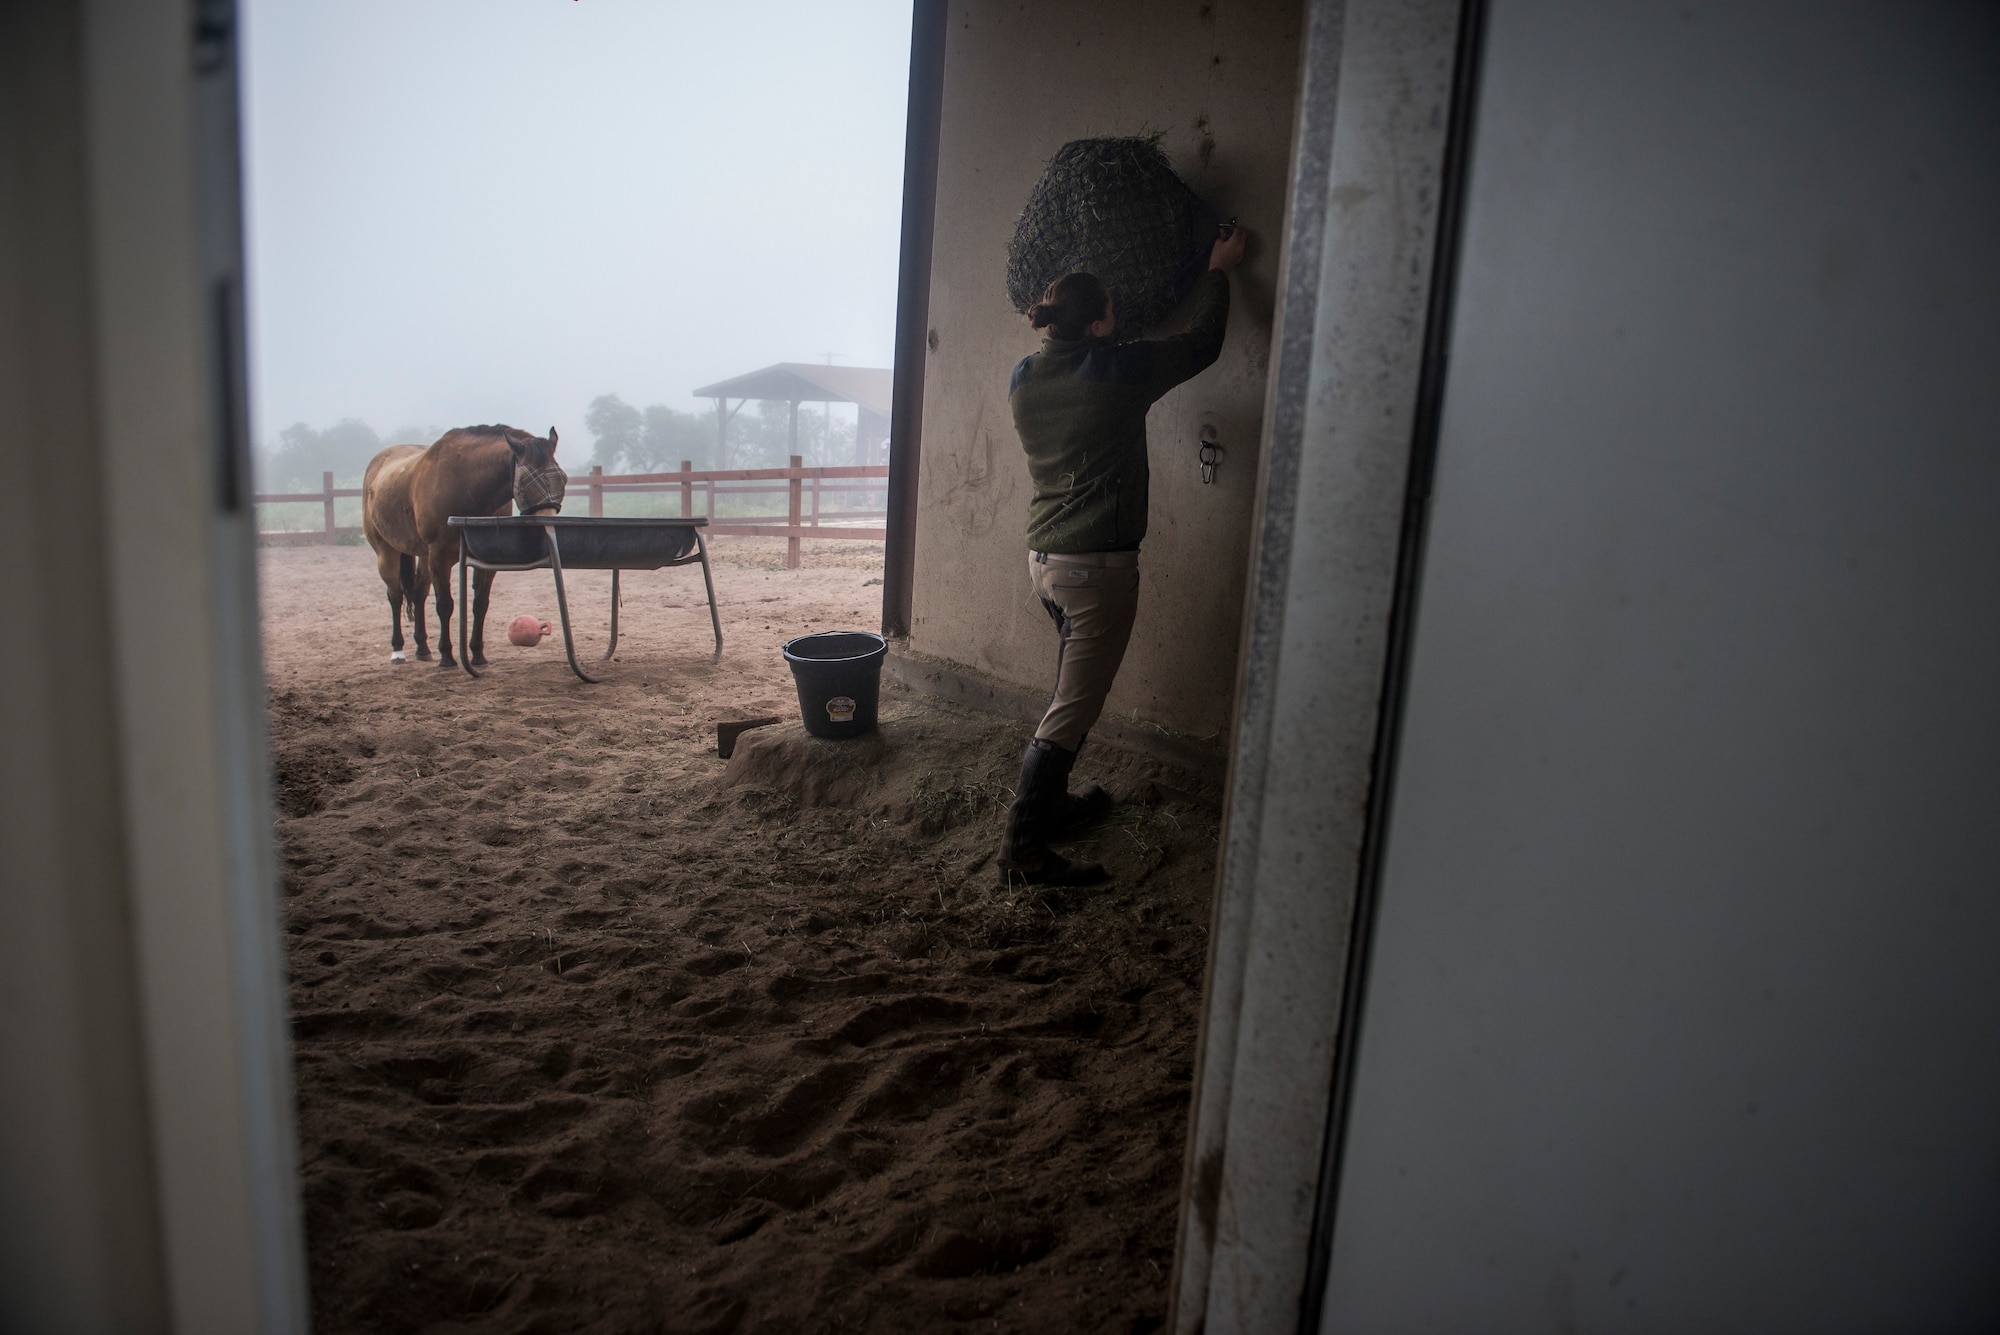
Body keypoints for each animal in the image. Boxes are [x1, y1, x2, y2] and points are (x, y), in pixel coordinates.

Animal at [358, 425, 560, 667]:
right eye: (525, 484)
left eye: (562, 478)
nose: (548, 525)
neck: (467, 486)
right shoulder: (439, 556)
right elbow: (445, 605)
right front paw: (446, 656)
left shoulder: (484, 559)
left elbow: (480, 604)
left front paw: (478, 654)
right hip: (387, 552)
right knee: (395, 595)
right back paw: (398, 650)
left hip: (424, 557)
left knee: (418, 594)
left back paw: (422, 648)